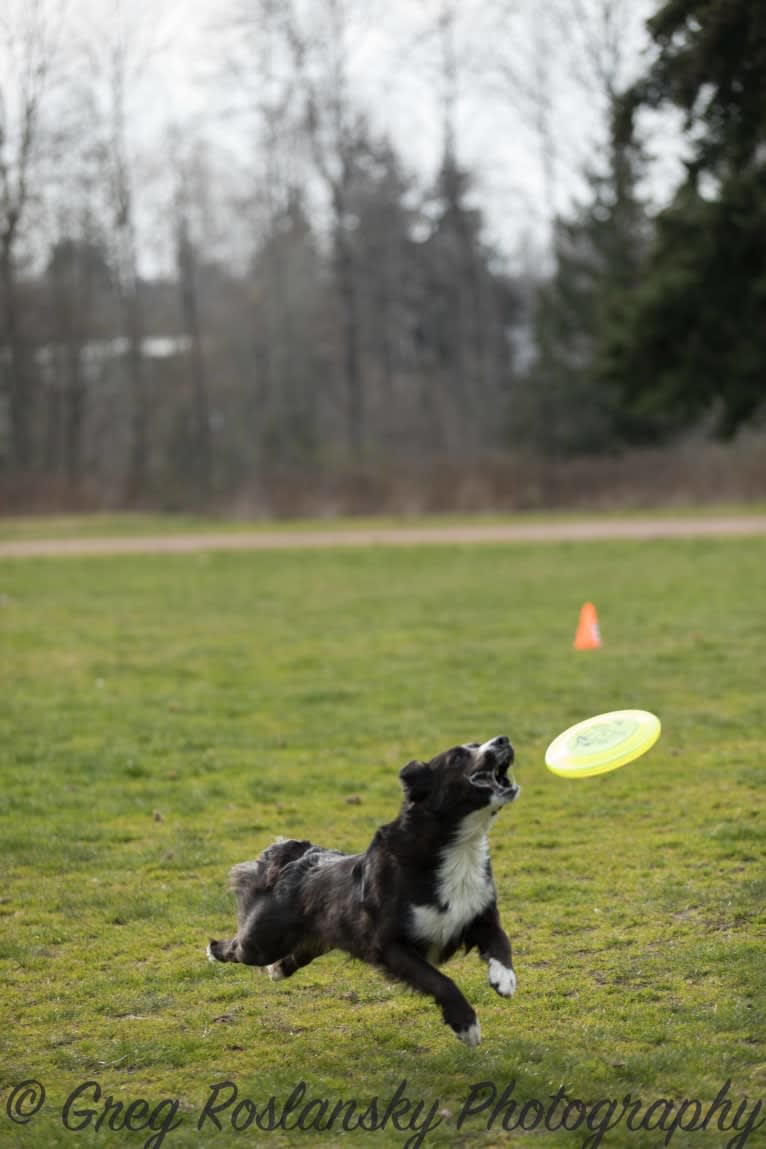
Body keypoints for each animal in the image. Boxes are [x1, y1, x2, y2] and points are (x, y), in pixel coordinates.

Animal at [207, 735, 521, 1052]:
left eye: (478, 744)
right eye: (457, 757)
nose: (502, 739)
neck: (455, 847)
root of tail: (295, 856)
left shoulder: (479, 915)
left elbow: (501, 941)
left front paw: (503, 979)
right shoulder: (387, 944)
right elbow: (439, 981)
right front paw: (466, 1026)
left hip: (317, 939)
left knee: (295, 957)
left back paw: (277, 971)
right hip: (262, 942)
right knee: (236, 947)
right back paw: (213, 952)